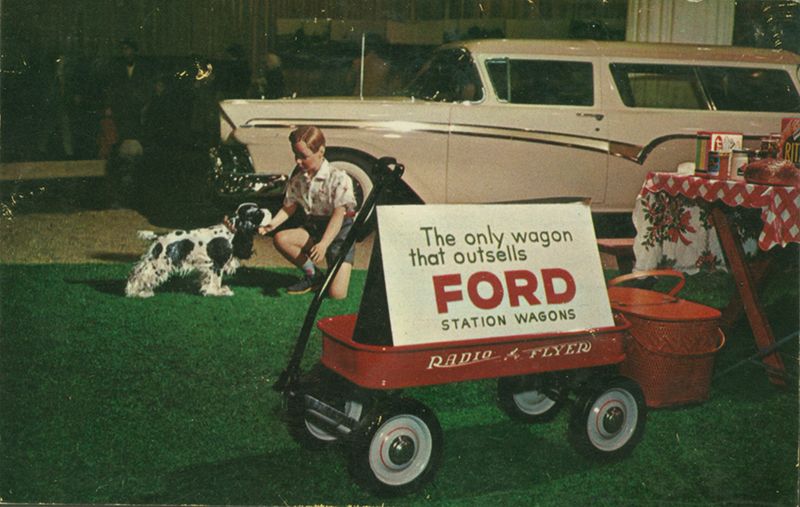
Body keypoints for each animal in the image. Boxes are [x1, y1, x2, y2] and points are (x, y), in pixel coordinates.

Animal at [126, 202, 272, 298]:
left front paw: (207, 289)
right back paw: (135, 292)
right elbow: (216, 280)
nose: (270, 211)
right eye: (259, 213)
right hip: (159, 263)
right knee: (140, 275)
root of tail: (160, 236)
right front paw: (218, 292)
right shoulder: (217, 264)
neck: (232, 232)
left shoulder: (209, 266)